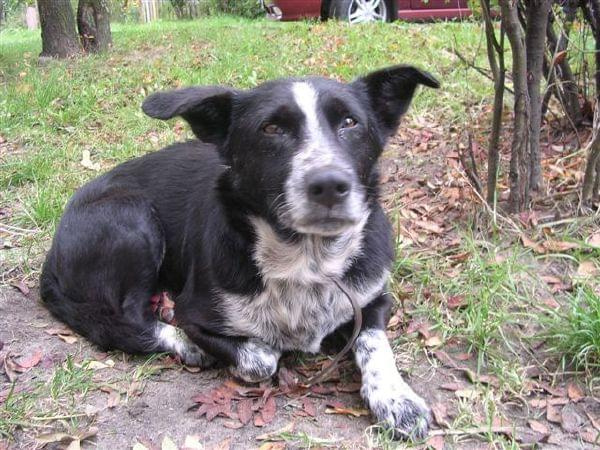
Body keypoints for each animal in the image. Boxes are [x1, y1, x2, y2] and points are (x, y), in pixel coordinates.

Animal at [39, 66, 438, 440]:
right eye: (272, 128)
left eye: (350, 122)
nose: (329, 184)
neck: (308, 259)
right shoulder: (193, 313)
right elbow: (263, 358)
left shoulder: (373, 297)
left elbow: (375, 343)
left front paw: (396, 398)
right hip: (134, 218)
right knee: (126, 318)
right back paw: (183, 344)